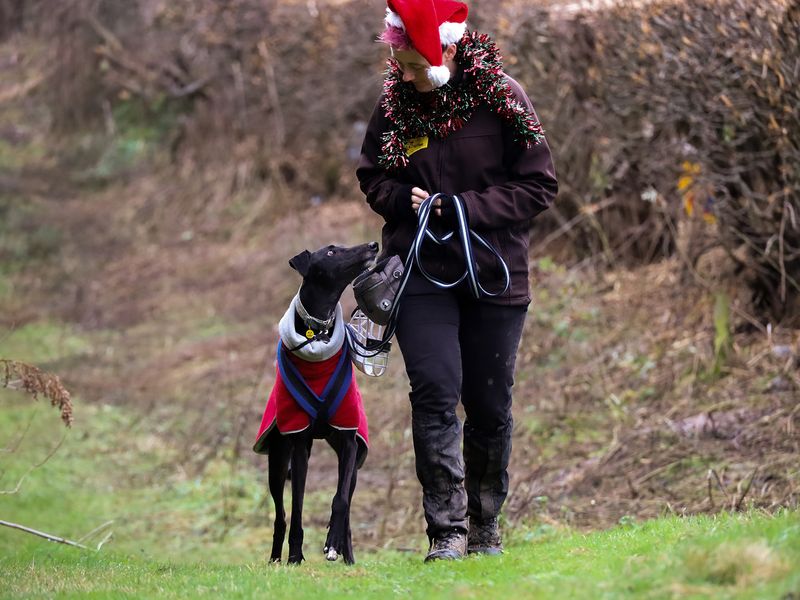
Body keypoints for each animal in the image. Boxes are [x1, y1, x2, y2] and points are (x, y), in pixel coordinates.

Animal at [256, 241, 382, 564]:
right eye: (331, 252)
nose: (373, 245)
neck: (319, 332)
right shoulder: (299, 444)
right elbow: (297, 508)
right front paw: (295, 556)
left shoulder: (349, 442)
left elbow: (340, 500)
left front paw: (333, 543)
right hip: (278, 461)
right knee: (280, 514)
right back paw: (276, 559)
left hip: (351, 459)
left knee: (345, 502)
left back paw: (347, 554)